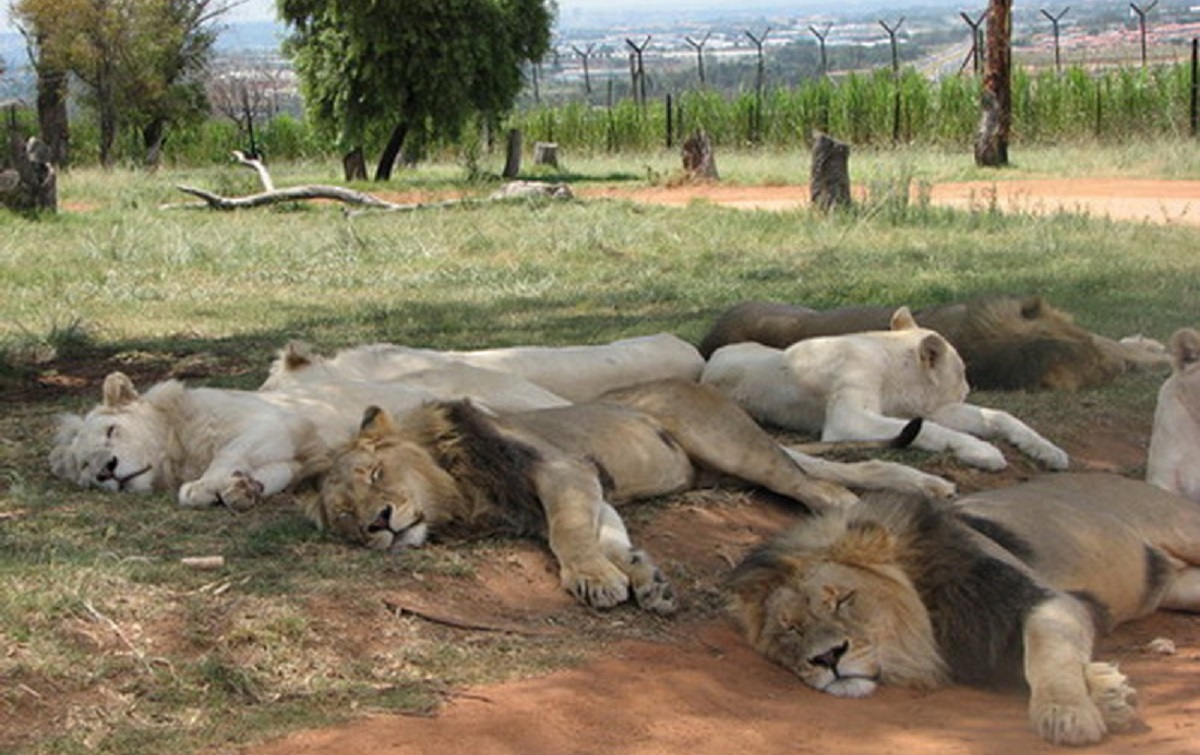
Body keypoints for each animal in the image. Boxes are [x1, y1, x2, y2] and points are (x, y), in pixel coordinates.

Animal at [309, 376, 955, 612]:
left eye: (376, 475)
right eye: (344, 516)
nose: (378, 523)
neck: (455, 479)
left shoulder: (563, 469)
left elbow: (569, 533)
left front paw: (594, 580)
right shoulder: (587, 484)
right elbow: (608, 534)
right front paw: (643, 578)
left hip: (732, 449)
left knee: (821, 486)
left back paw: (860, 515)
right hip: (737, 465)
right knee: (850, 465)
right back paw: (932, 484)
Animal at [700, 303, 1070, 468]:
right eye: (963, 370)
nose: (968, 388)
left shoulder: (932, 408)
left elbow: (1000, 416)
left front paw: (1050, 451)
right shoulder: (848, 420)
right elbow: (929, 431)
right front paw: (983, 452)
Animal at [724, 472, 1200, 744]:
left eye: (843, 599)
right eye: (791, 629)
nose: (826, 658)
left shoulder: (1043, 599)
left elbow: (1045, 653)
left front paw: (1066, 714)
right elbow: (1028, 664)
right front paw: (1108, 692)